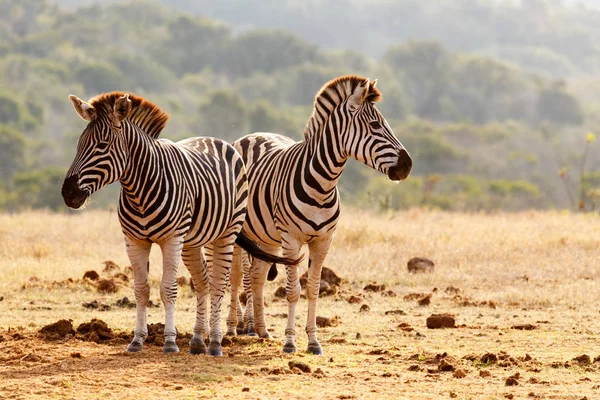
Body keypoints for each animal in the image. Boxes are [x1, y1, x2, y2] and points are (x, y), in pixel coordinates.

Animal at [61, 91, 300, 356]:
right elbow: (141, 290)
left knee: (220, 283)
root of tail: (217, 140)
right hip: (193, 242)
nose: (67, 194)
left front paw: (169, 342)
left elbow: (168, 289)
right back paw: (197, 341)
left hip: (226, 234)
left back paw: (215, 343)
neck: (139, 190)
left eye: (102, 145)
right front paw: (137, 340)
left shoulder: (171, 240)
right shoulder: (134, 240)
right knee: (203, 282)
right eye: (79, 144)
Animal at [227, 74, 410, 354]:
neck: (323, 184)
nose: (408, 165)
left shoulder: (323, 241)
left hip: (267, 237)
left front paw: (313, 342)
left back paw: (260, 330)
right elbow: (293, 291)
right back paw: (231, 328)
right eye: (375, 125)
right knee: (237, 277)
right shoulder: (292, 240)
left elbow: (313, 289)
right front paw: (290, 342)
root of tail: (250, 136)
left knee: (257, 278)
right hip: (241, 232)